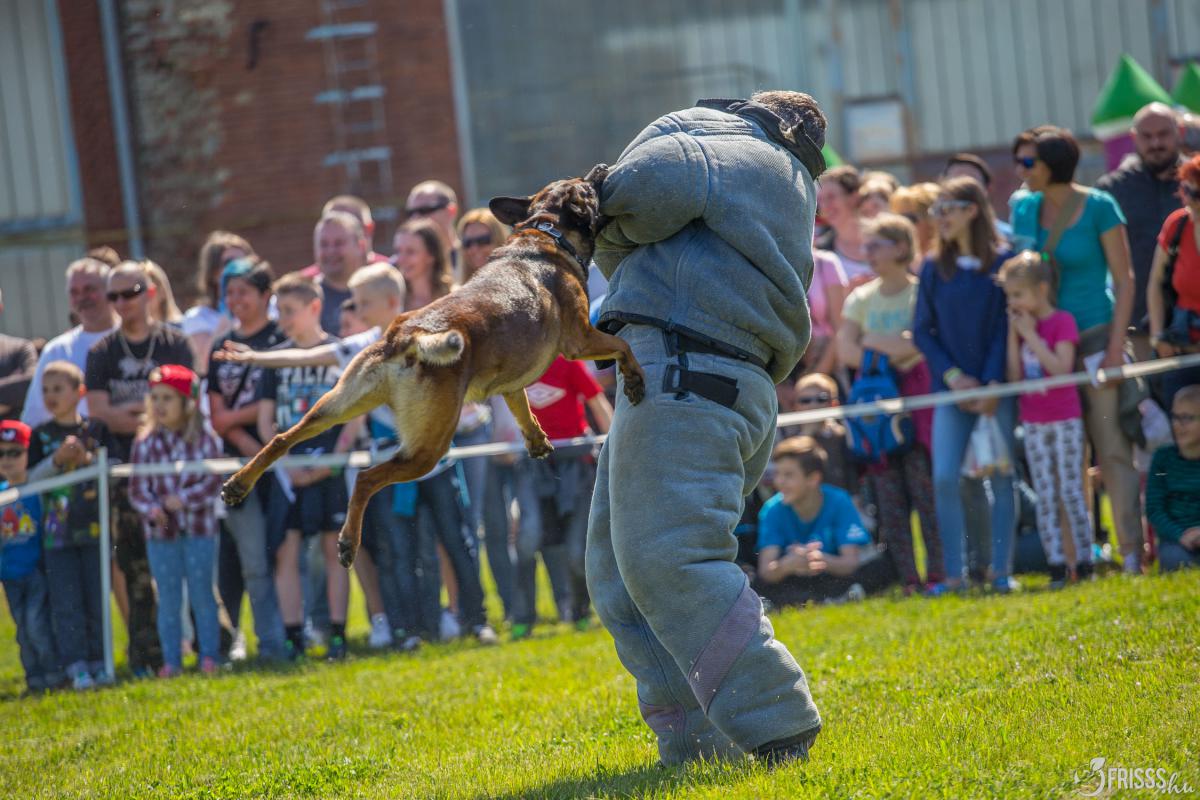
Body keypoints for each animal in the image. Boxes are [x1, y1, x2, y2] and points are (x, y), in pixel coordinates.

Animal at [219, 164, 645, 568]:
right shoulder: (581, 339)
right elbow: (622, 345)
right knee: (366, 478)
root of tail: (407, 335)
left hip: (337, 405)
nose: (602, 167)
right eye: (585, 185)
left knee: (282, 439)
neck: (546, 229)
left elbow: (523, 410)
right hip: (428, 446)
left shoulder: (511, 386)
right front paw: (635, 380)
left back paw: (239, 483)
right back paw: (347, 541)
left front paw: (537, 439)